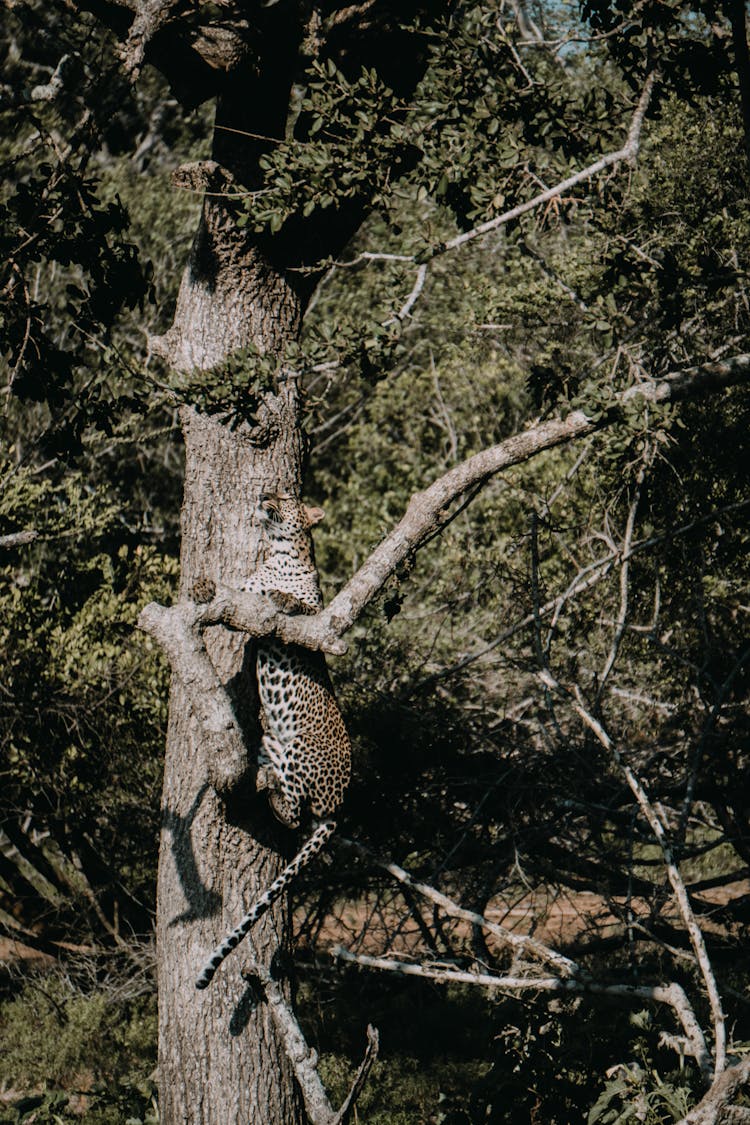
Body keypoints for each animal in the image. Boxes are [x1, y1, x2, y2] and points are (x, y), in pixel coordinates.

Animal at [195, 492, 350, 985]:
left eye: (288, 497)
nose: (264, 494)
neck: (278, 554)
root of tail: (339, 807)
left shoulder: (316, 618)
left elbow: (293, 604)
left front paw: (282, 595)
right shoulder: (245, 590)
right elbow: (236, 592)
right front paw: (204, 587)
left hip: (301, 747)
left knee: (298, 813)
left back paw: (274, 794)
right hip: (271, 745)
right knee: (288, 804)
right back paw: (265, 783)